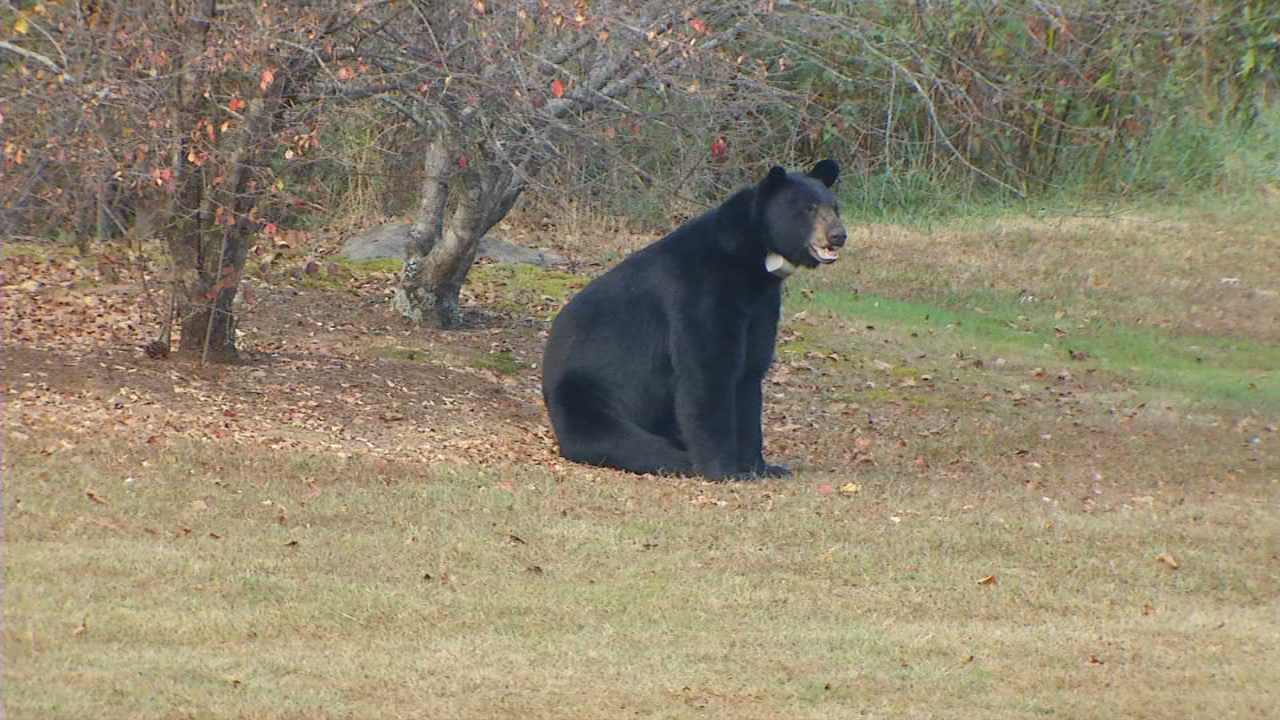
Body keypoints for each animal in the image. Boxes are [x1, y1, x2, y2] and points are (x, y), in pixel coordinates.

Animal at [541, 160, 846, 481]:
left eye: (835, 207)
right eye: (809, 208)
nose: (838, 235)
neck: (752, 266)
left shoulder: (761, 307)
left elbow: (749, 374)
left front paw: (762, 467)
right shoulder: (700, 292)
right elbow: (706, 371)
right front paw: (723, 469)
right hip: (587, 394)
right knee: (625, 441)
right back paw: (682, 459)